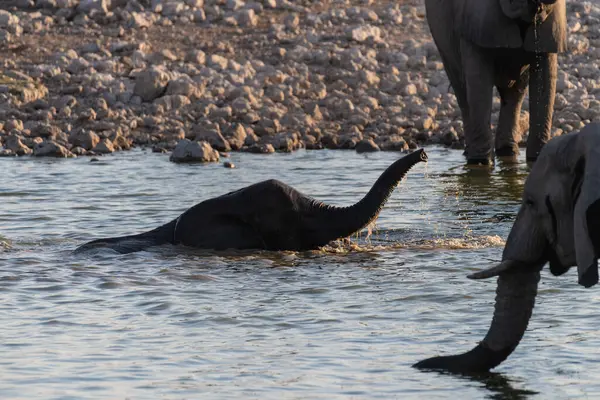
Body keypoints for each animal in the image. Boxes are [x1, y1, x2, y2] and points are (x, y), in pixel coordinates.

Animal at [426, 0, 568, 165]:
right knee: (461, 90)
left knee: (515, 92)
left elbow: (546, 77)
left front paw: (537, 159)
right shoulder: (476, 18)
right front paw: (480, 163)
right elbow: (478, 81)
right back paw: (471, 154)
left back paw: (508, 151)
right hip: (442, 41)